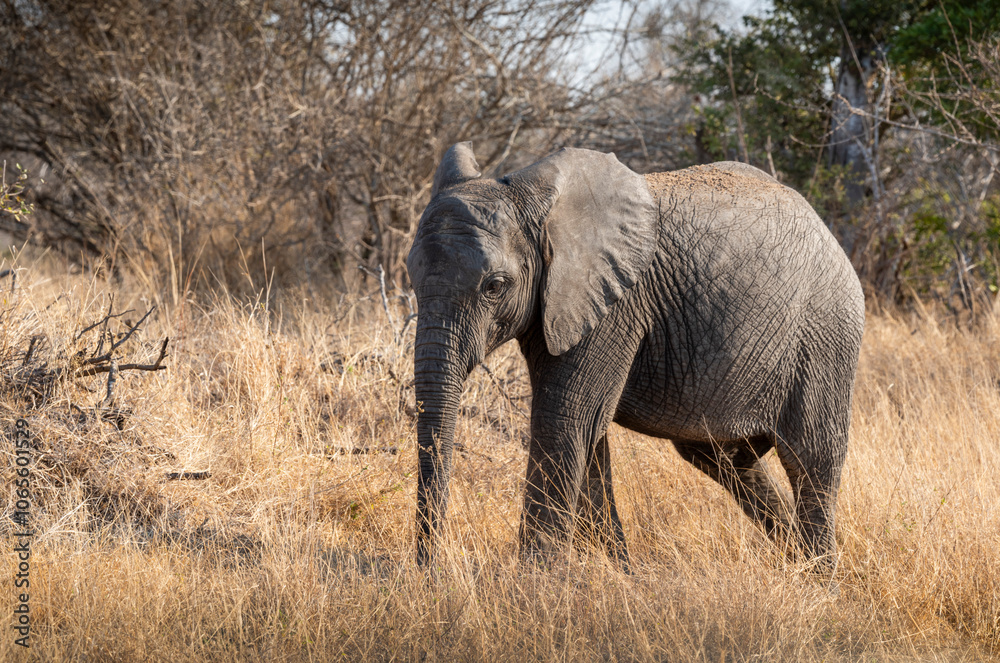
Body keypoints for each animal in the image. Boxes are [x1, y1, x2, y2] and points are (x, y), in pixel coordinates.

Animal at [406, 142, 865, 574]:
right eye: (411, 279)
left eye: (495, 286)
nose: (430, 571)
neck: (531, 196)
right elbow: (589, 436)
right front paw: (621, 575)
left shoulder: (616, 304)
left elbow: (565, 421)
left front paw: (536, 582)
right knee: (724, 459)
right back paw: (796, 560)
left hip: (824, 336)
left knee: (811, 459)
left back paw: (821, 578)